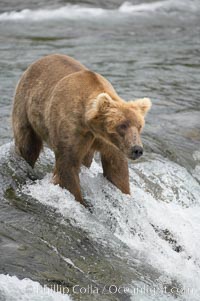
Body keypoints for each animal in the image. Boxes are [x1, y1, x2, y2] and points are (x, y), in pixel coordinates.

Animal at [11, 53, 151, 204]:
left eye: (139, 126)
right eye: (122, 126)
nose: (137, 149)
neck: (90, 125)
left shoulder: (107, 142)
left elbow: (117, 168)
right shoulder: (72, 130)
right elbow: (67, 167)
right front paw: (80, 201)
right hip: (25, 106)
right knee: (27, 146)